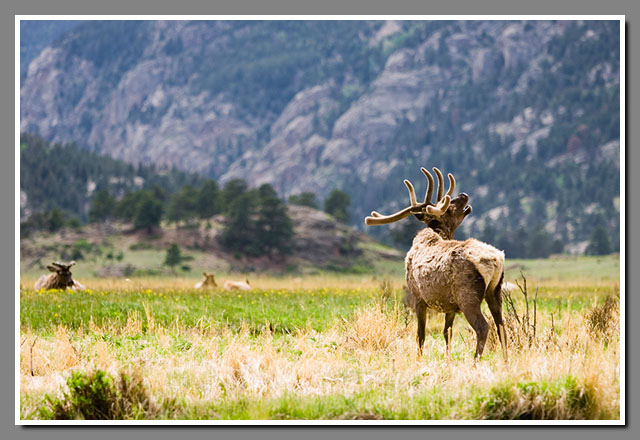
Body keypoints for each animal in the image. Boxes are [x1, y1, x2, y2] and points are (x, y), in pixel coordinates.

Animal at [364, 167, 504, 362]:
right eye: (448, 206)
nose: (464, 195)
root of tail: (495, 259)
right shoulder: (450, 306)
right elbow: (447, 333)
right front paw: (448, 360)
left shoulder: (418, 297)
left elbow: (420, 335)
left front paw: (419, 360)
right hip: (495, 291)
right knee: (501, 326)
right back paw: (506, 362)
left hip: (468, 296)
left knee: (483, 327)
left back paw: (475, 362)